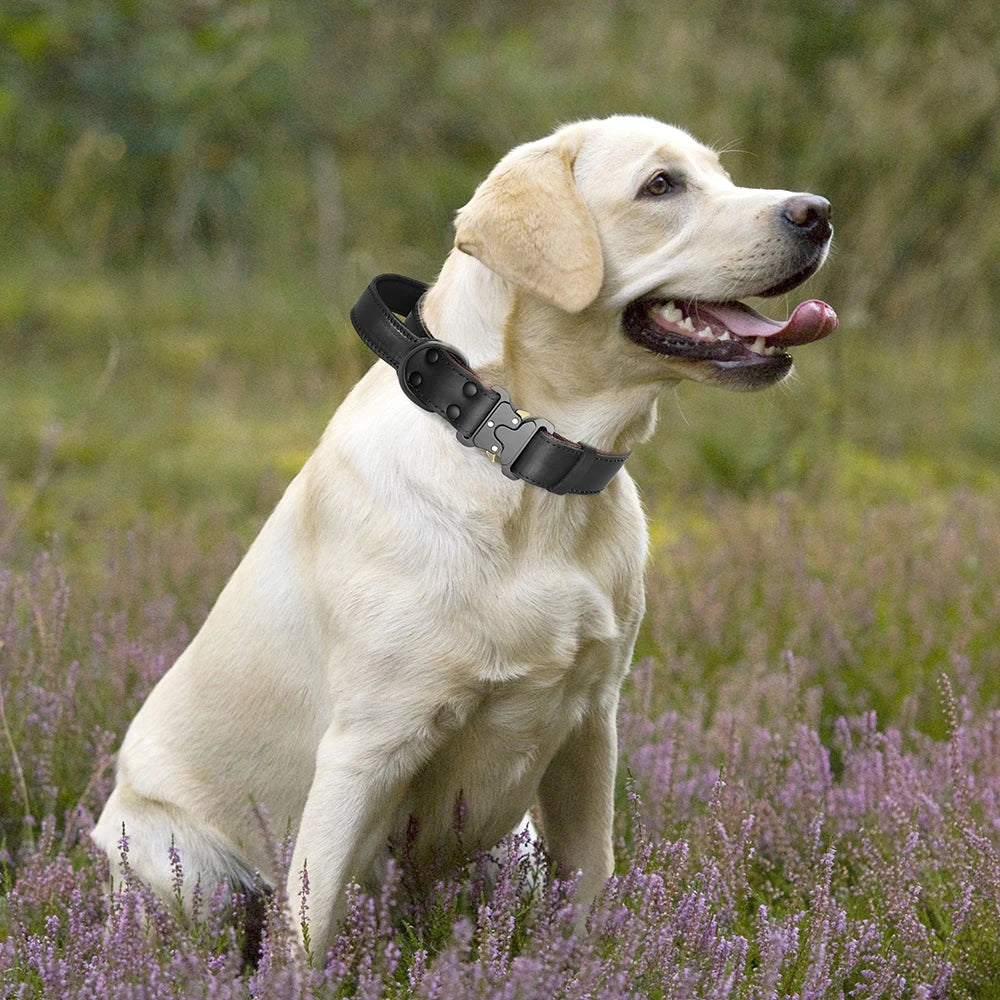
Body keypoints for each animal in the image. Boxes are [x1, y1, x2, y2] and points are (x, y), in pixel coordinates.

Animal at [92, 115, 836, 960]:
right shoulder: (365, 750)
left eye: (719, 174)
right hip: (184, 869)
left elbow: (592, 883)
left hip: (515, 846)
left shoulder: (590, 727)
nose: (817, 212)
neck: (525, 466)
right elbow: (309, 934)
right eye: (661, 185)